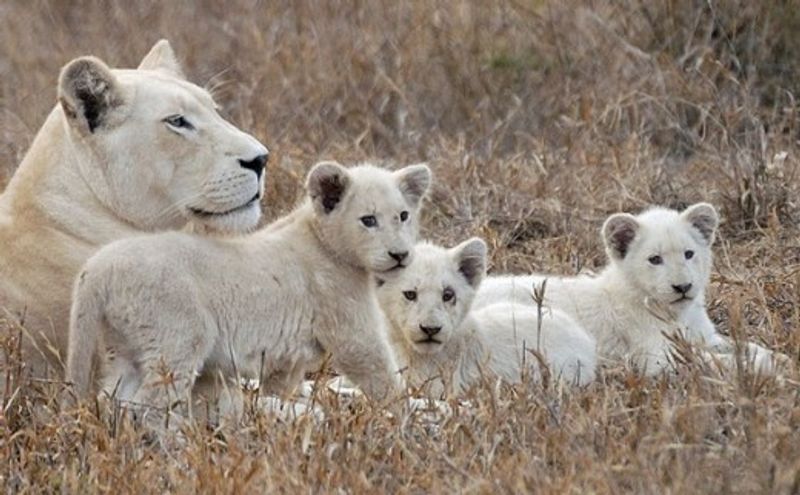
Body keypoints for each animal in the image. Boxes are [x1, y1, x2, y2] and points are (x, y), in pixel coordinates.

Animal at [66, 161, 432, 420]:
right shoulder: (350, 328)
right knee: (151, 404)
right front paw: (408, 423)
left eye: (403, 215)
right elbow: (380, 375)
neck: (324, 241)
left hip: (125, 347)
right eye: (368, 220)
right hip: (177, 336)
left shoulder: (288, 360)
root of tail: (97, 267)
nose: (400, 255)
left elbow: (280, 389)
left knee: (116, 399)